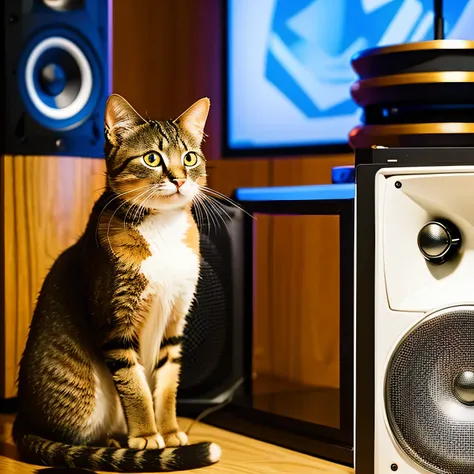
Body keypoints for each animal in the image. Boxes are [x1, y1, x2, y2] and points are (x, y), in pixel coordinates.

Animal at [11, 93, 222, 470]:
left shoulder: (176, 320)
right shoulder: (115, 323)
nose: (179, 179)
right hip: (84, 398)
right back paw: (112, 443)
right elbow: (134, 385)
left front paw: (169, 431)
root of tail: (21, 421)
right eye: (152, 158)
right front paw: (146, 436)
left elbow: (167, 383)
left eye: (190, 157)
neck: (162, 226)